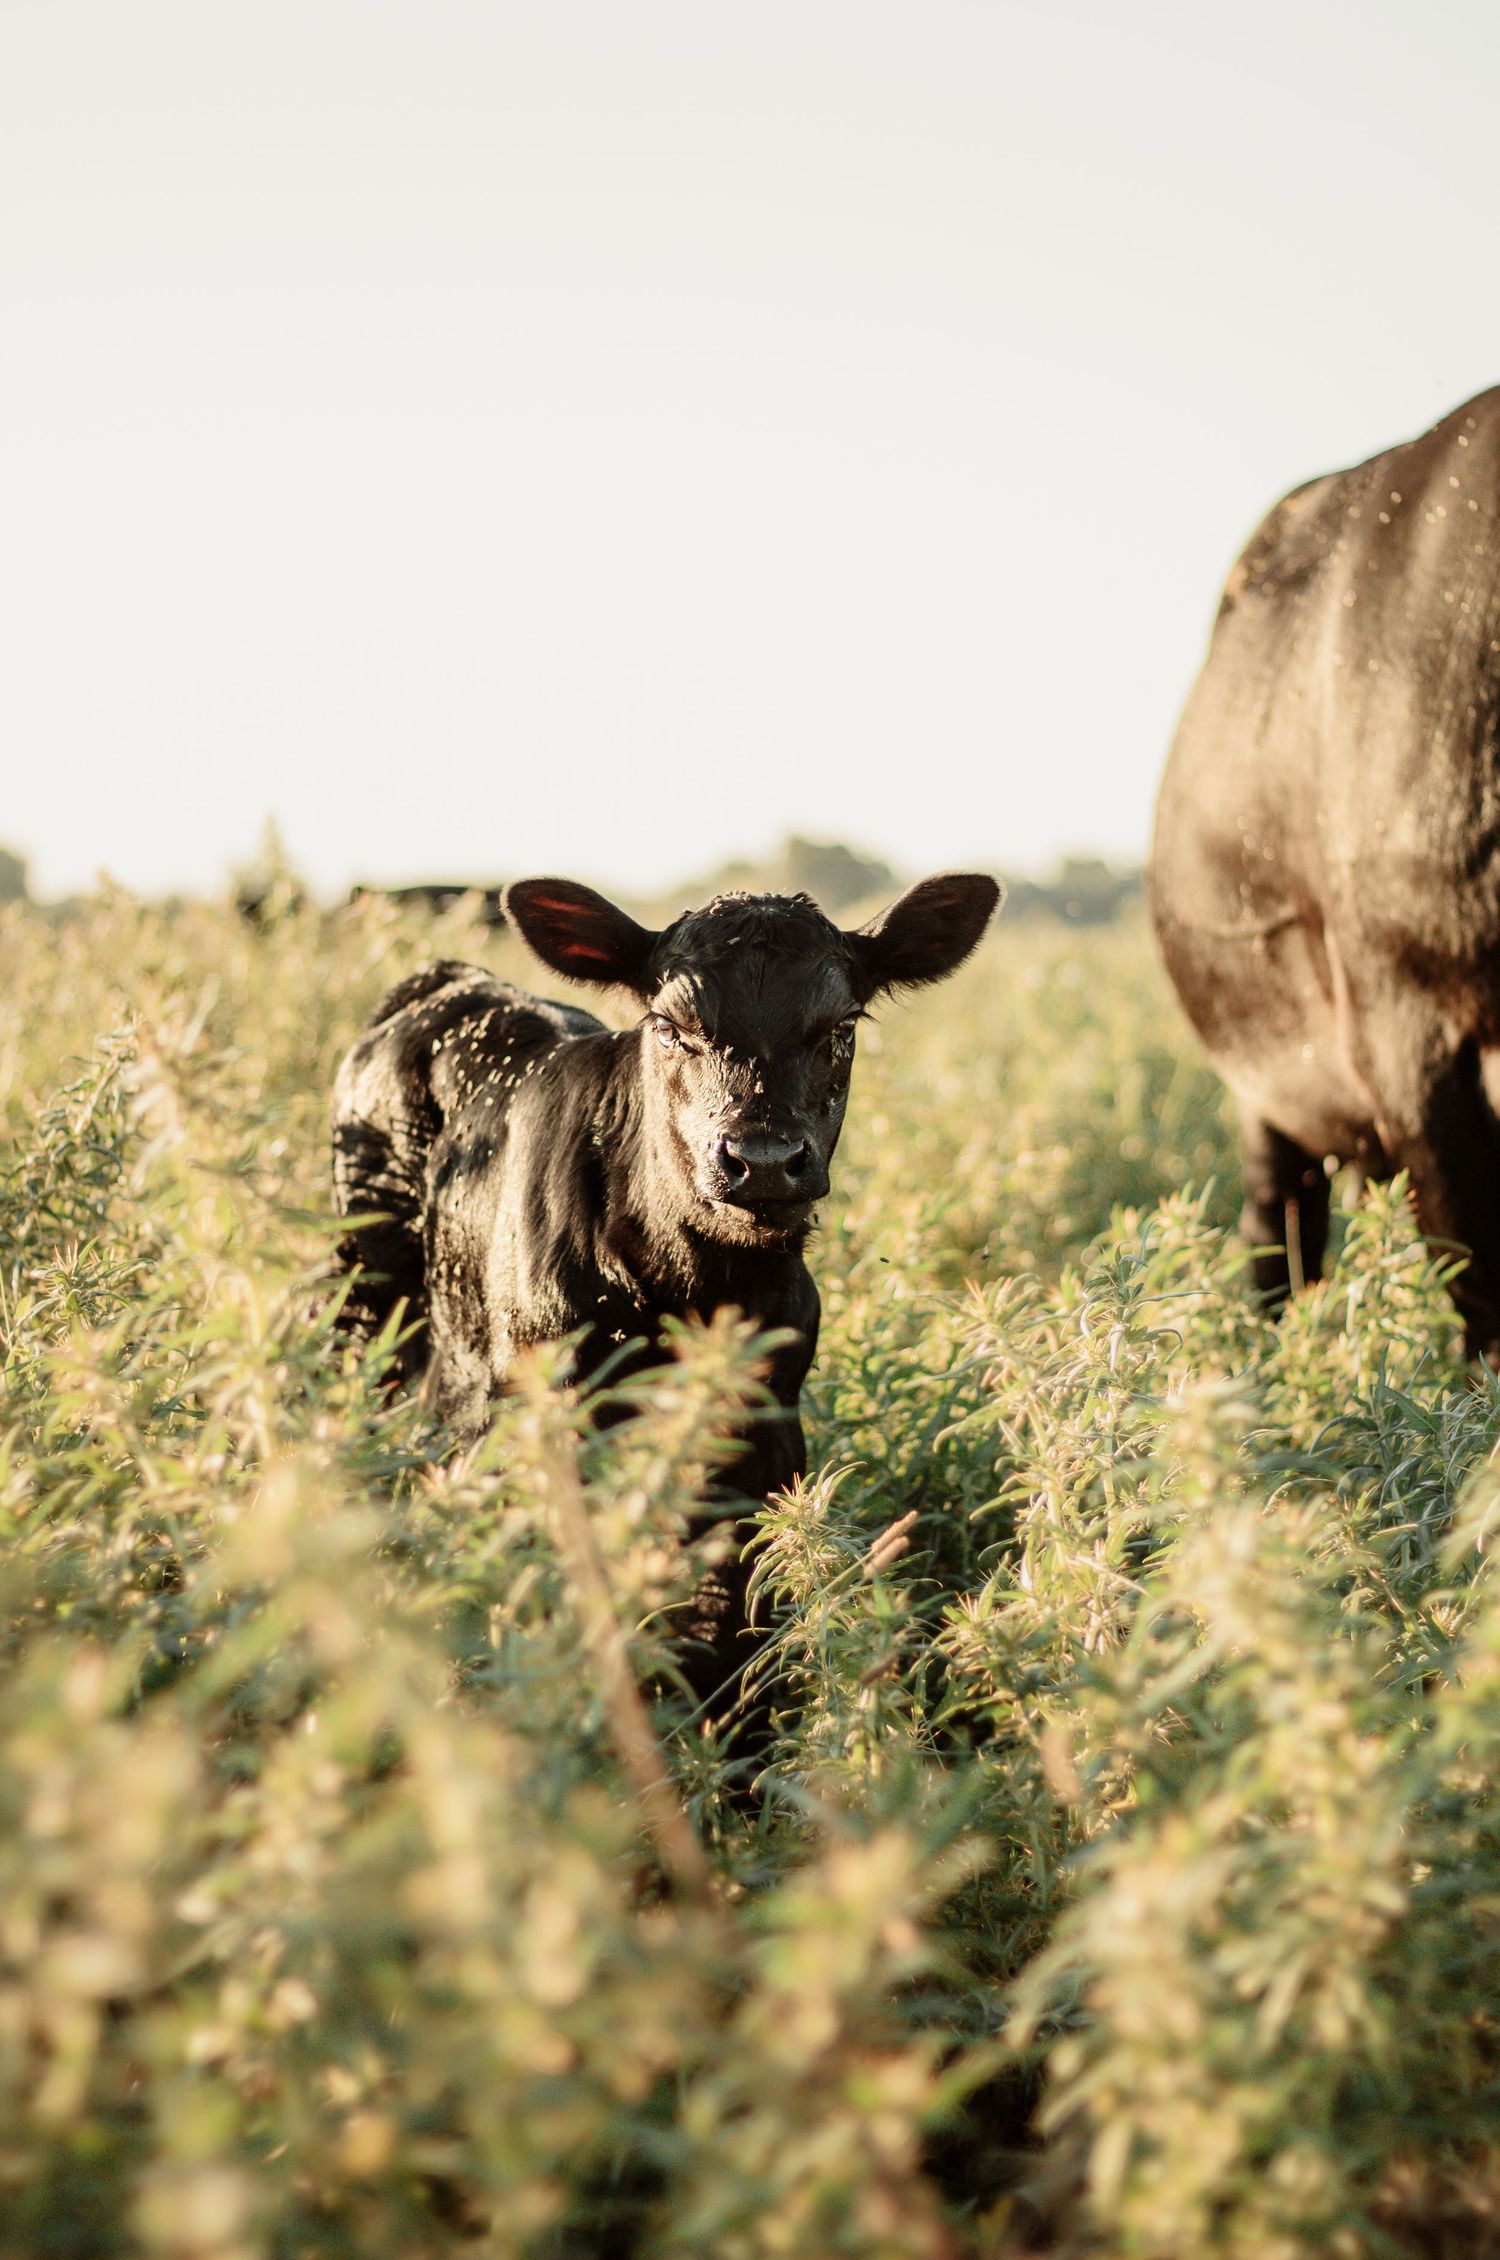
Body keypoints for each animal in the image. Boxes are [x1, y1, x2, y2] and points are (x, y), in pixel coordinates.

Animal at [331, 870, 999, 1709]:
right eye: (672, 1025)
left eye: (841, 1027)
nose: (764, 1159)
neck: (694, 1284)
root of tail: (450, 978)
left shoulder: (767, 1432)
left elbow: (737, 1619)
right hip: (363, 1293)